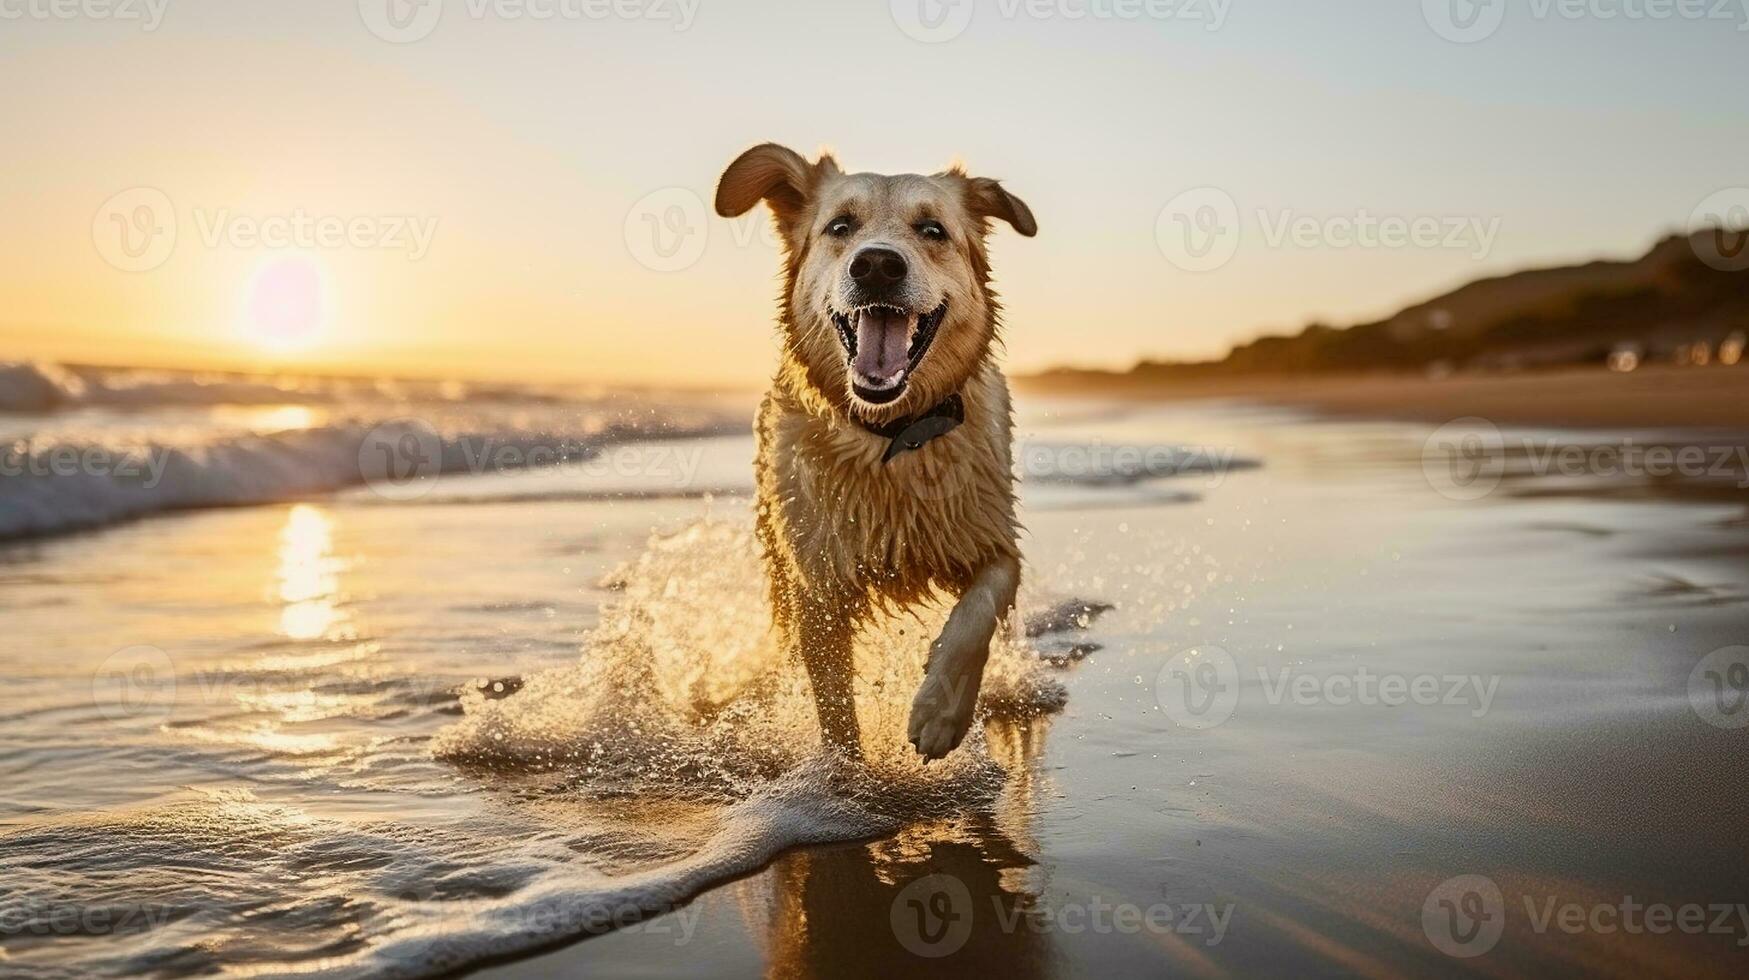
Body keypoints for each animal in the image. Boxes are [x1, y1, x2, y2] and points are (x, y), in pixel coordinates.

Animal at [713, 143, 1035, 759]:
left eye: (932, 229)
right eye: (841, 226)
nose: (879, 265)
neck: (892, 434)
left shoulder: (991, 534)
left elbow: (980, 607)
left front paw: (939, 713)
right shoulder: (817, 587)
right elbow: (835, 707)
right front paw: (846, 772)